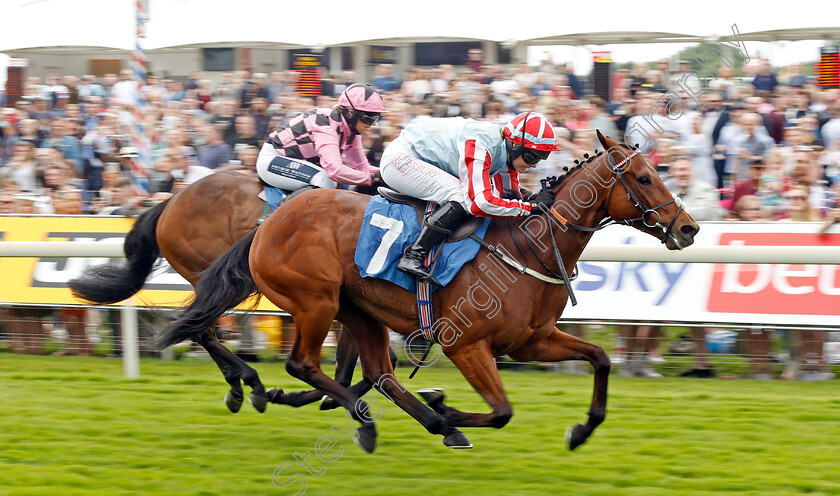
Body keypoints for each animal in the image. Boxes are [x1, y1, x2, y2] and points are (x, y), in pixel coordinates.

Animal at [161, 132, 700, 454]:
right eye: (644, 177)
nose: (689, 228)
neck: (528, 246)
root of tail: (268, 224)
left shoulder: (531, 340)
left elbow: (601, 358)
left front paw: (582, 428)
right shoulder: (466, 344)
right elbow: (501, 412)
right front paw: (446, 406)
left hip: (358, 311)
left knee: (379, 375)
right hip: (316, 301)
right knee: (303, 363)